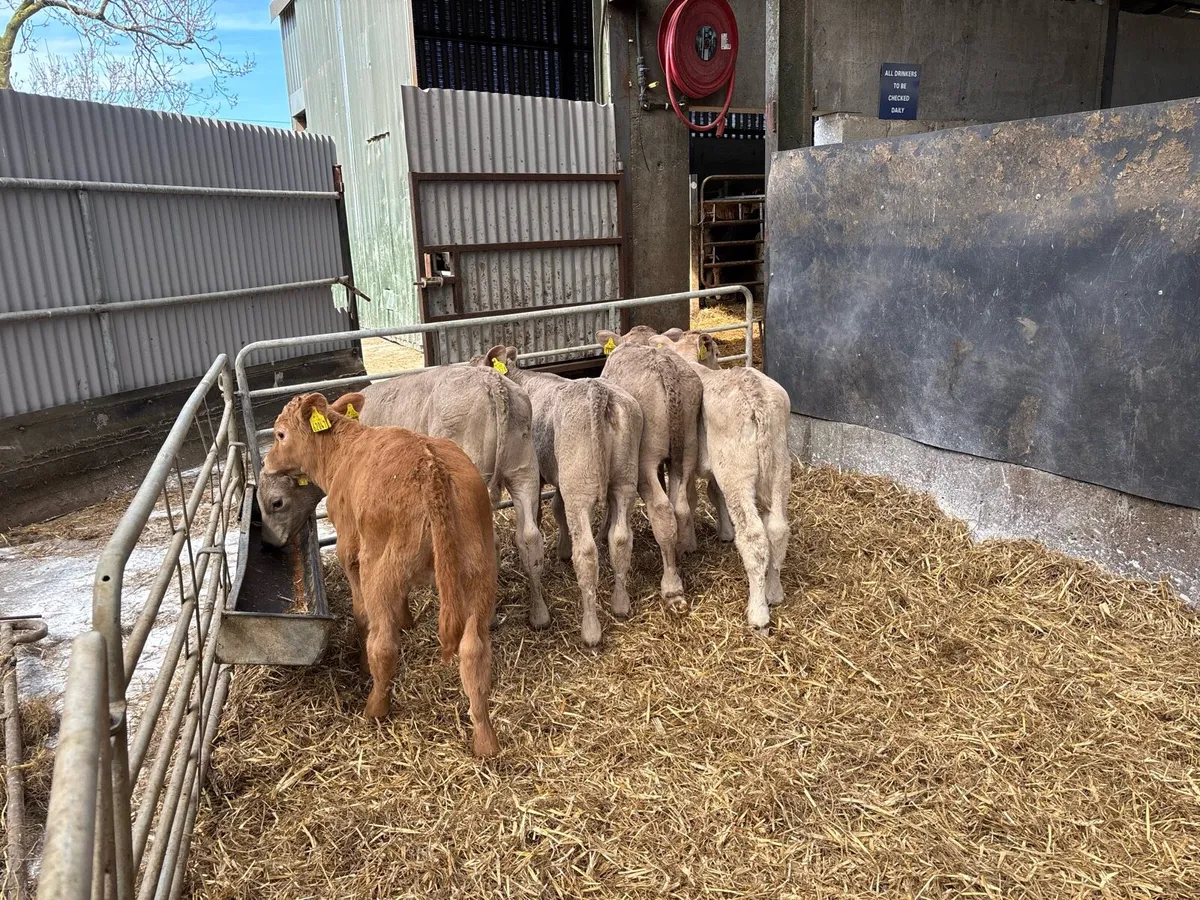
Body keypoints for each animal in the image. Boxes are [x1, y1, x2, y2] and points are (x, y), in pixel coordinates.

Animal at [259, 366, 549, 631]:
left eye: (276, 503)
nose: (269, 542)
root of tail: (492, 382)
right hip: (524, 469)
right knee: (529, 538)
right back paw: (539, 615)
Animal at [262, 392, 500, 757]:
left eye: (280, 434)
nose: (266, 462)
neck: (343, 451)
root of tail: (430, 466)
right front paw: (408, 619)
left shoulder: (350, 550)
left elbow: (362, 615)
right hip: (479, 573)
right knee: (474, 651)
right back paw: (485, 739)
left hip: (380, 569)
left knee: (384, 644)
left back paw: (375, 707)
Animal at [472, 346, 642, 646]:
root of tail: (599, 392)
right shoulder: (559, 477)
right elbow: (558, 508)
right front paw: (561, 548)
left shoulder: (539, 477)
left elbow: (543, 513)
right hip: (624, 479)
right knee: (621, 538)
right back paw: (621, 604)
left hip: (580, 486)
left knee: (586, 551)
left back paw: (591, 630)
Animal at [649, 329, 792, 631]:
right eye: (716, 354)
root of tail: (755, 395)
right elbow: (714, 496)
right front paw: (724, 532)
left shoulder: (693, 464)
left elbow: (689, 501)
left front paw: (688, 543)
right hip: (779, 466)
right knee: (777, 529)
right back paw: (774, 593)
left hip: (736, 470)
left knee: (754, 536)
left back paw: (759, 613)